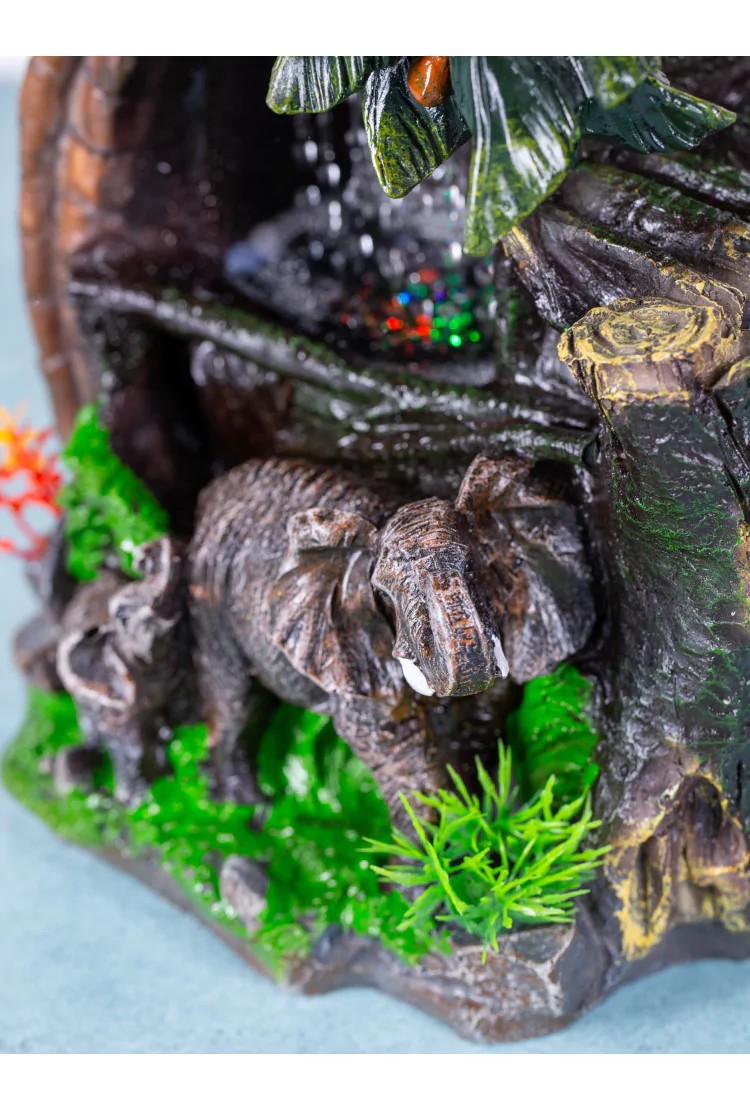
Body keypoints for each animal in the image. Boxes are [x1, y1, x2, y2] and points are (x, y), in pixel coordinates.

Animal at [188, 453, 597, 828]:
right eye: (383, 594)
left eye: (475, 568)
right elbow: (394, 746)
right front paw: (434, 851)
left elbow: (479, 730)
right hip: (209, 596)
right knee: (235, 701)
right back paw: (245, 811)